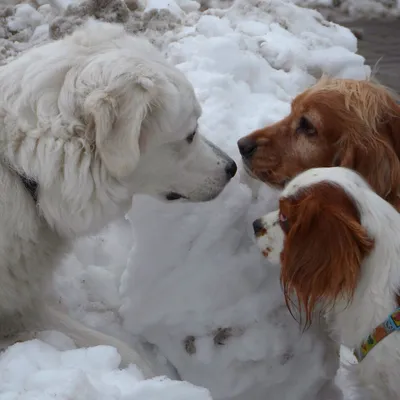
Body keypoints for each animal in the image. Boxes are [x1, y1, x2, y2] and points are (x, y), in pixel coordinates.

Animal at [0, 19, 236, 378]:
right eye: (190, 134)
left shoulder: (21, 304)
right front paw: (155, 378)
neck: (26, 171)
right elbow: (122, 349)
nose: (233, 167)